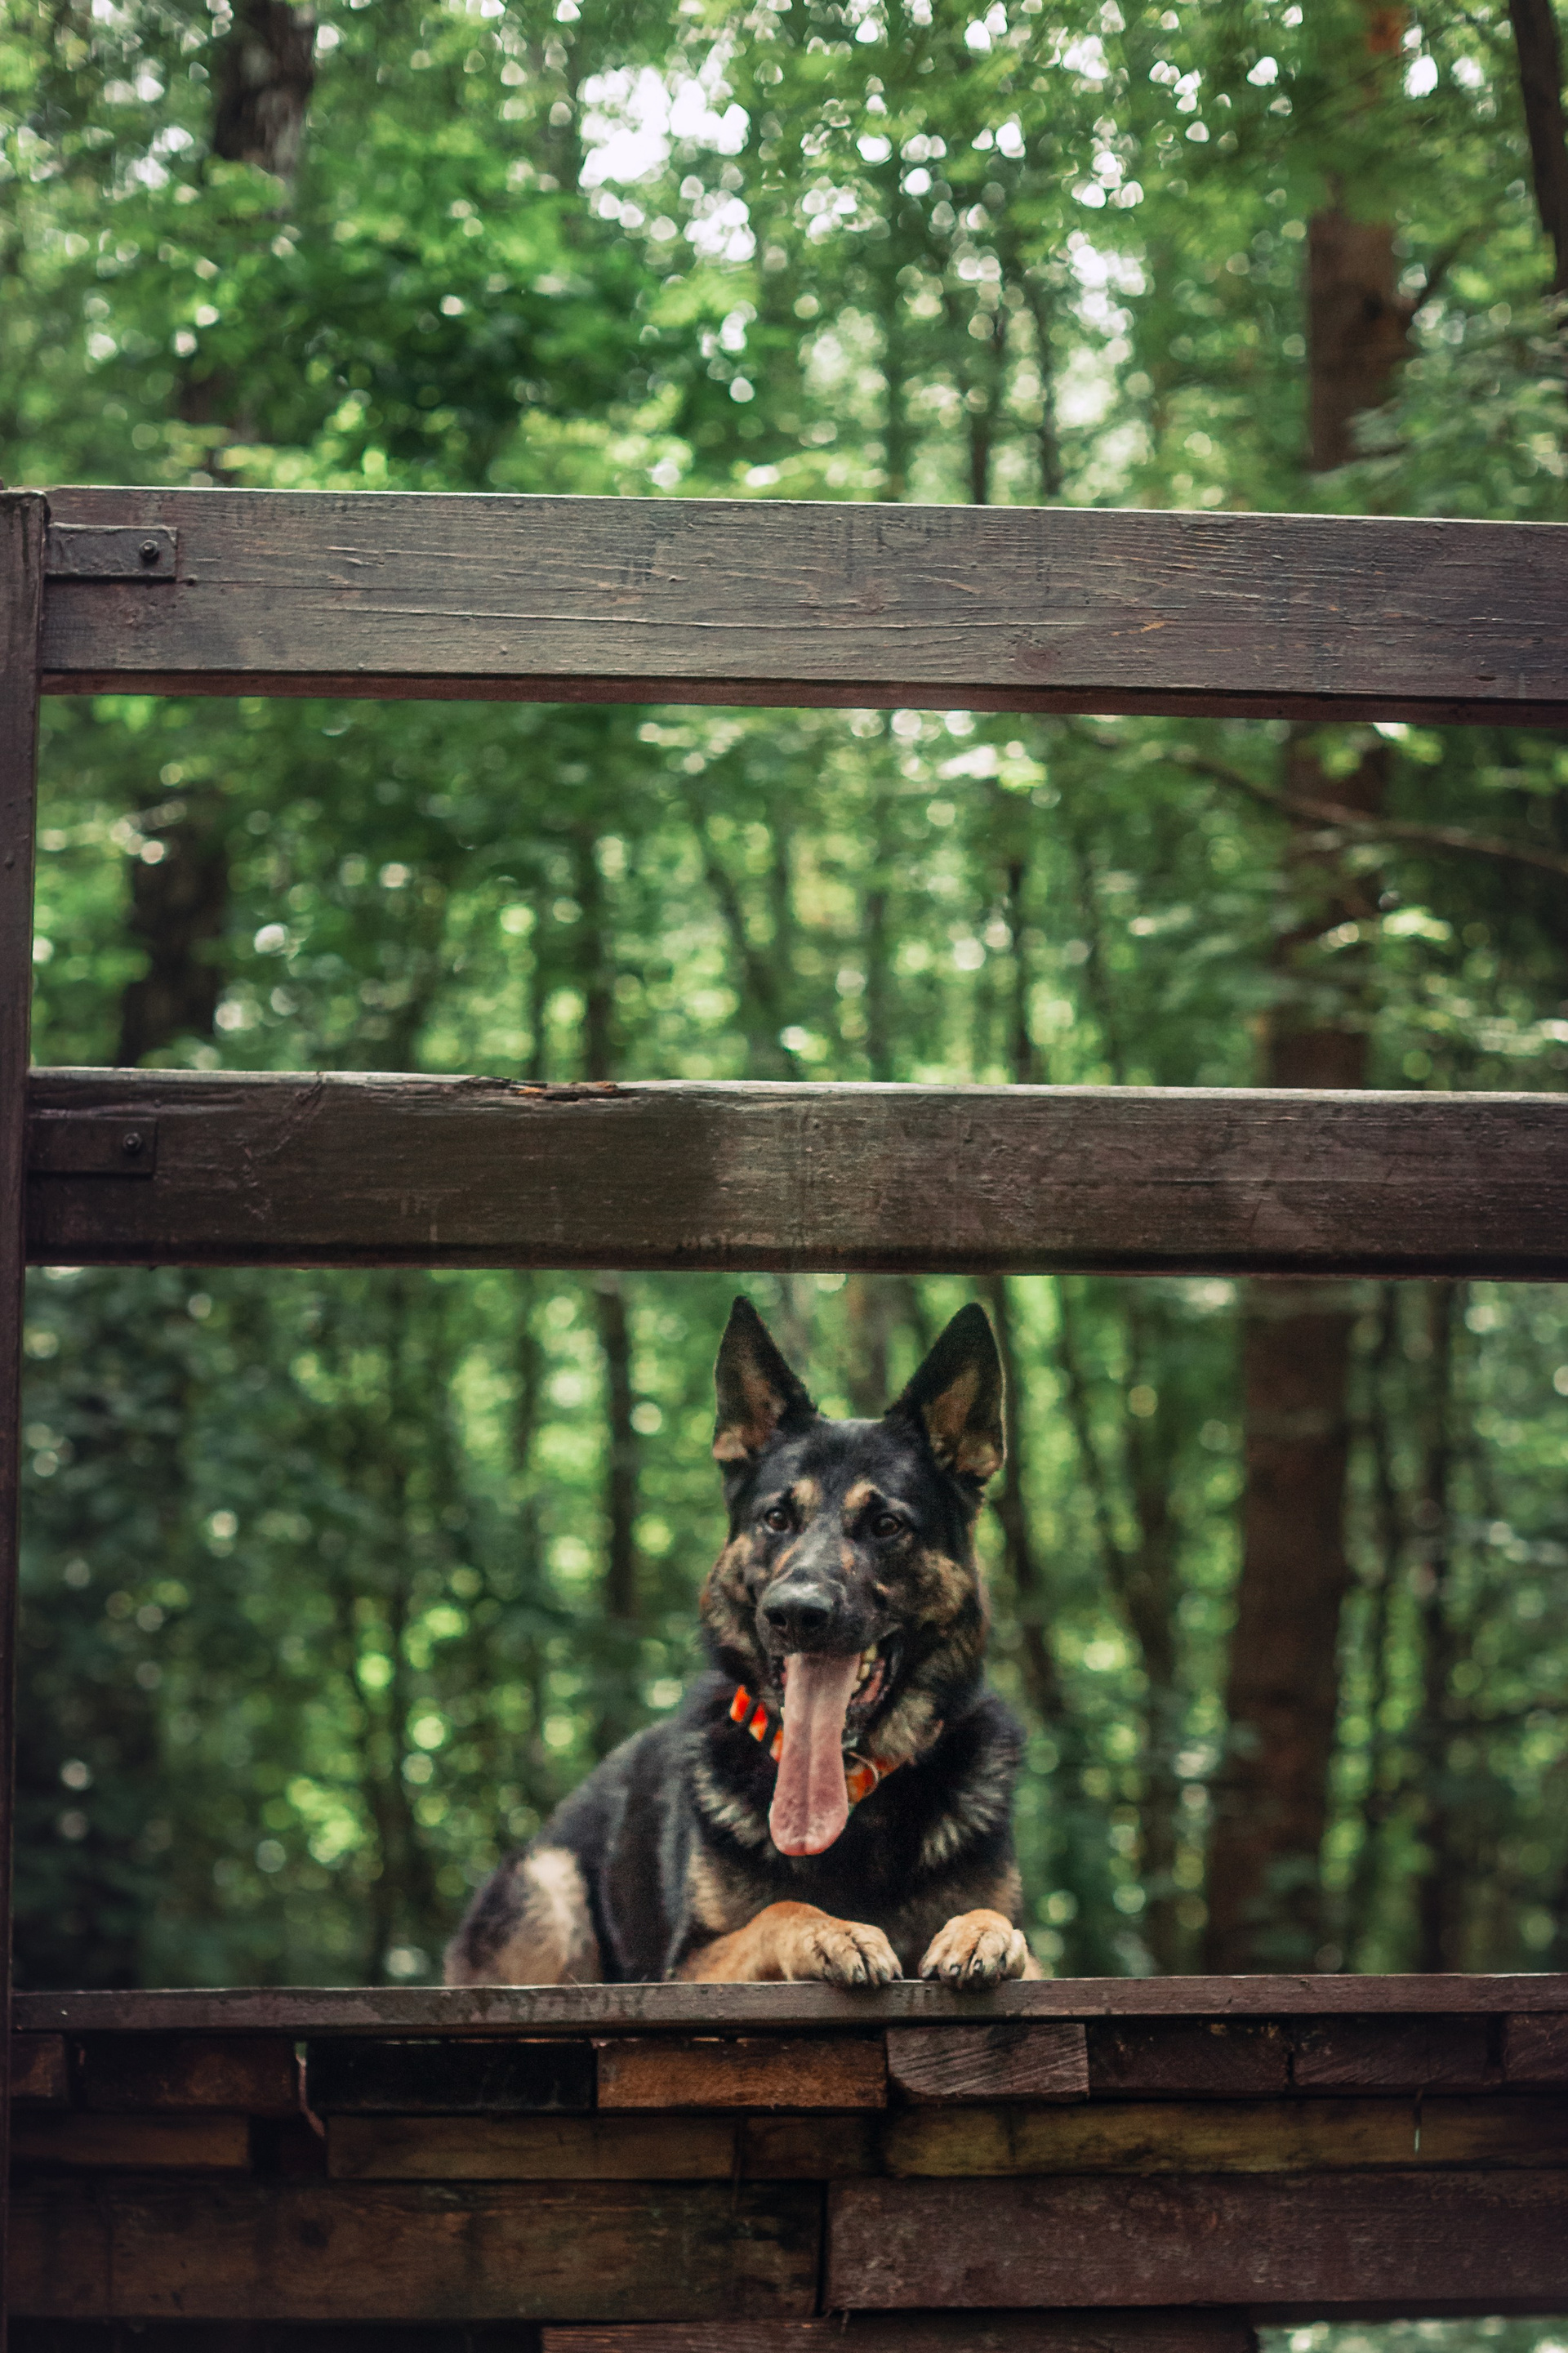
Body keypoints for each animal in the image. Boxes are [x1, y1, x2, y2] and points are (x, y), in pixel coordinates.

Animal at [445, 1295, 1040, 1987]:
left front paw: (980, 1930)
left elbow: (1009, 1927)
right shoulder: (687, 1964)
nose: (796, 1613)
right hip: (550, 1882)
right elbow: (779, 1910)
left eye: (887, 1524)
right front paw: (834, 1930)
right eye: (776, 1518)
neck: (853, 1806)